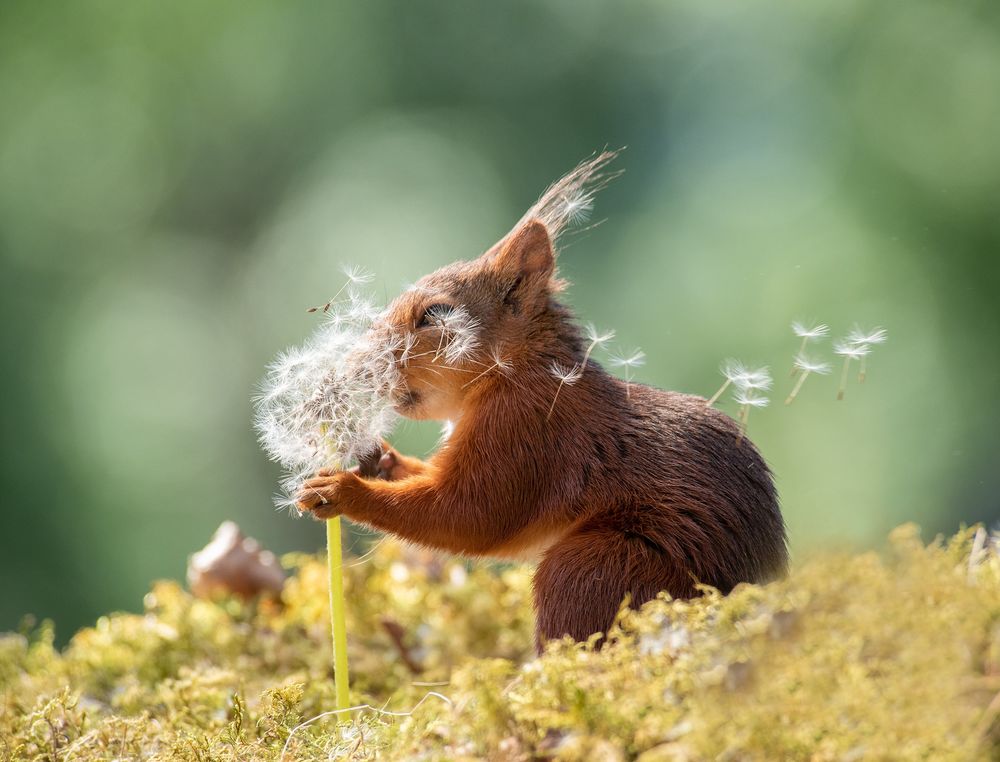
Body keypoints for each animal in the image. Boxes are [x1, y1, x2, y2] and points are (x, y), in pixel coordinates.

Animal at [296, 153, 788, 648]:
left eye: (435, 314)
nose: (358, 365)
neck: (515, 371)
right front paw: (379, 459)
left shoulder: (527, 429)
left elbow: (469, 514)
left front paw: (342, 491)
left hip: (596, 567)